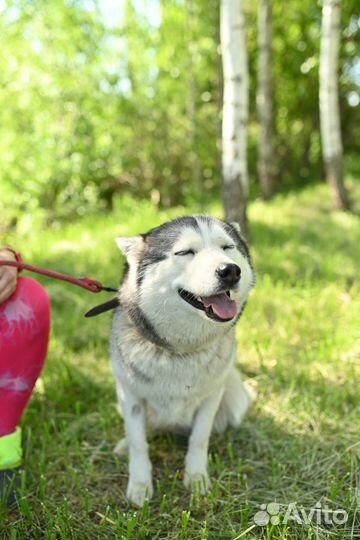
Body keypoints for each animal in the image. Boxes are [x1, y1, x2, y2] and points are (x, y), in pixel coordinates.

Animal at [111, 214, 255, 506]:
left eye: (227, 247)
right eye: (186, 252)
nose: (230, 271)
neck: (181, 351)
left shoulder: (211, 397)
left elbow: (199, 438)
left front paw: (196, 478)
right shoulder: (130, 397)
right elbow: (138, 443)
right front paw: (140, 485)